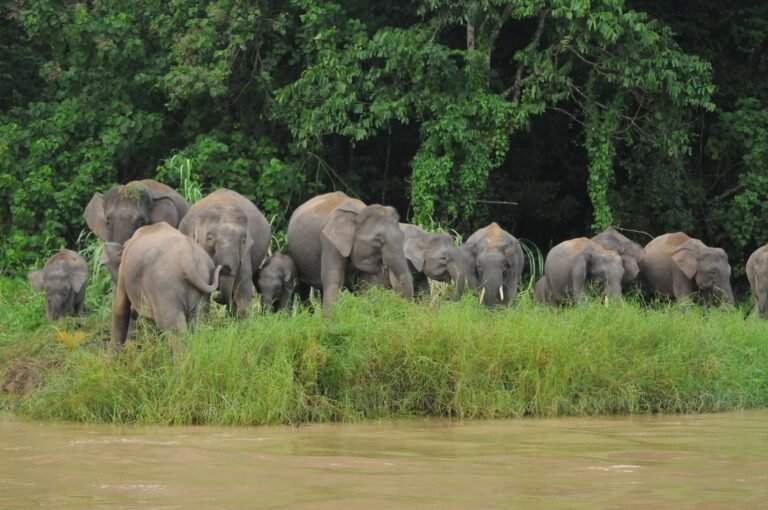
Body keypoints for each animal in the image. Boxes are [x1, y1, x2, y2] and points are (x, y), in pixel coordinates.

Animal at [110, 222, 221, 351]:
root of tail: (187, 261)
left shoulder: (122, 272)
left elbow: (120, 307)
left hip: (164, 289)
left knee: (175, 329)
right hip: (202, 286)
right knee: (200, 322)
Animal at [286, 191, 414, 313]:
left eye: (403, 237)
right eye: (378, 240)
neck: (358, 213)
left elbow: (365, 284)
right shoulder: (330, 243)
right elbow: (334, 279)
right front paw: (330, 320)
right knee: (303, 289)